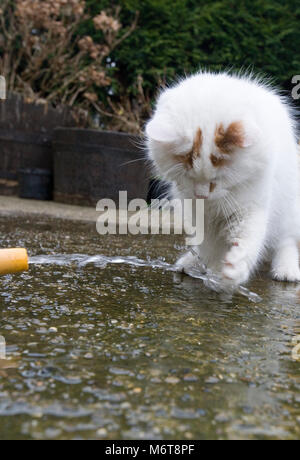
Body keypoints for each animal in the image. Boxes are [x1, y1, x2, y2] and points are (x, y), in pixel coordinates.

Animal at [145, 71, 300, 288]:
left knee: (287, 241)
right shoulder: (198, 212)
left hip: (288, 211)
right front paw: (208, 266)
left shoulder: (251, 204)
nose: (202, 195)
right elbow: (208, 245)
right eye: (188, 176)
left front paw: (234, 268)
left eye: (218, 179)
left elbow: (248, 239)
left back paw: (286, 270)